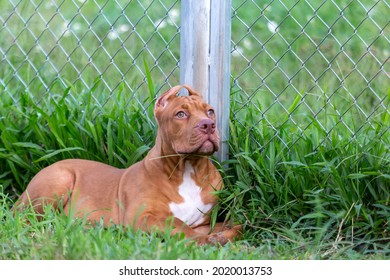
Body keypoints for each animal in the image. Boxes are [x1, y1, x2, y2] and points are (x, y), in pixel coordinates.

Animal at [16, 85, 241, 245]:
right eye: (180, 114)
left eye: (210, 111)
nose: (208, 125)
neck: (188, 168)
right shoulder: (142, 216)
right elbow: (177, 223)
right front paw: (203, 241)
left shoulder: (203, 221)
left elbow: (235, 224)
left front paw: (222, 237)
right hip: (58, 180)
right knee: (25, 219)